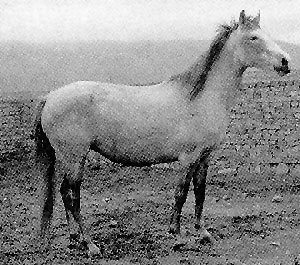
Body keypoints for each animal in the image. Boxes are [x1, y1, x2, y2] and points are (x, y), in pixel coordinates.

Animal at [32, 9, 290, 254]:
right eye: (253, 37)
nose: (285, 62)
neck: (200, 99)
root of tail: (50, 97)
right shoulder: (188, 159)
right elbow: (181, 193)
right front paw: (177, 236)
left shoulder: (204, 158)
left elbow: (200, 192)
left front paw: (203, 232)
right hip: (75, 157)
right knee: (72, 195)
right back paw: (89, 243)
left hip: (70, 159)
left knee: (64, 192)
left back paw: (74, 238)